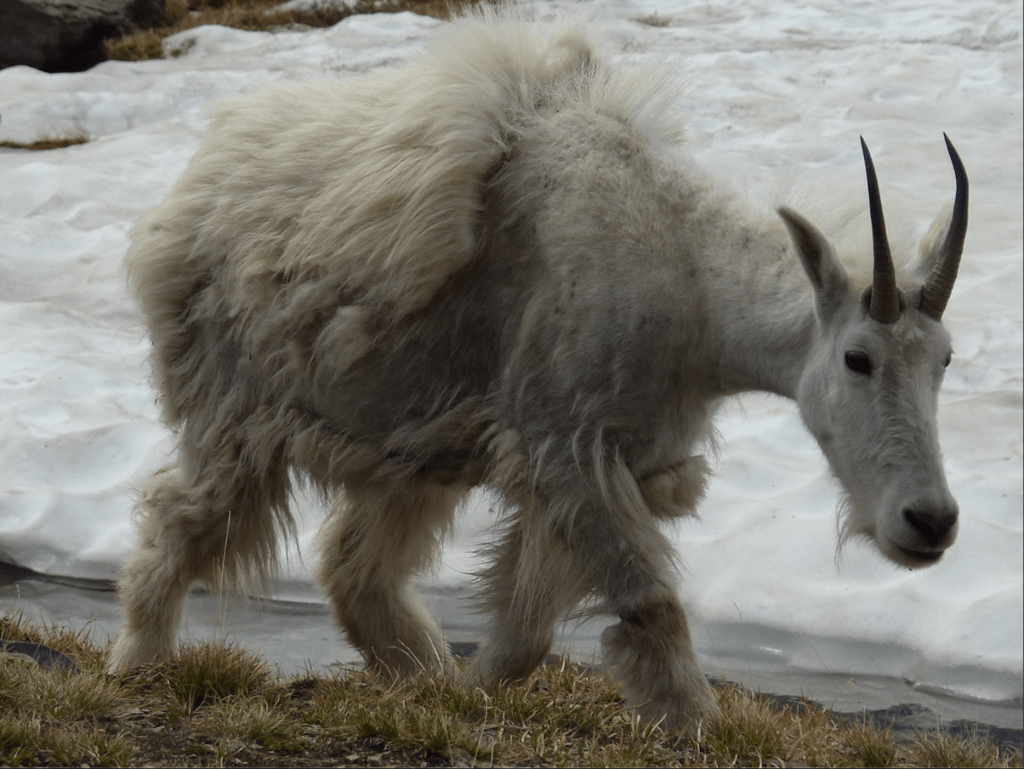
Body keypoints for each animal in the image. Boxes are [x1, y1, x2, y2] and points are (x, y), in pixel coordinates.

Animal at [110, 10, 966, 733]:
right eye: (858, 357)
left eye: (946, 359)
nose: (931, 522)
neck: (686, 278)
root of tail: (187, 194)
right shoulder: (569, 447)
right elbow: (651, 603)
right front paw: (699, 725)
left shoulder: (599, 464)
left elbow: (525, 628)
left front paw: (466, 696)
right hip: (237, 414)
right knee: (177, 519)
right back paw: (137, 668)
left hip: (407, 447)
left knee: (356, 567)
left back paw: (420, 677)